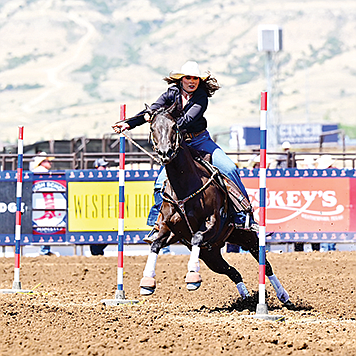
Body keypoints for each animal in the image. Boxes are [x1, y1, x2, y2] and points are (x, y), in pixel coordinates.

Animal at [140, 103, 294, 308]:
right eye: (152, 128)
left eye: (174, 126)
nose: (166, 153)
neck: (185, 185)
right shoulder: (169, 228)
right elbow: (156, 244)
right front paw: (147, 281)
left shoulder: (213, 222)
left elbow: (197, 236)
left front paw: (192, 276)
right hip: (211, 255)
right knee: (232, 271)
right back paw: (246, 298)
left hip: (246, 238)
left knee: (266, 266)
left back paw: (284, 297)